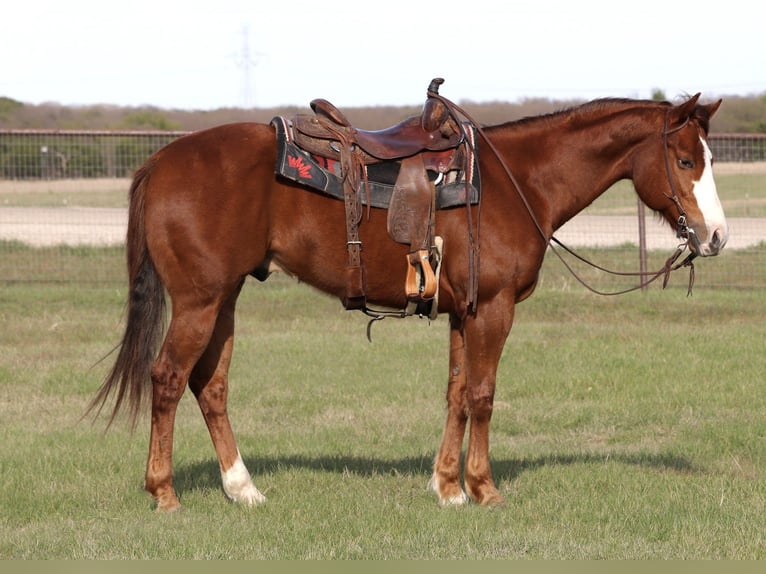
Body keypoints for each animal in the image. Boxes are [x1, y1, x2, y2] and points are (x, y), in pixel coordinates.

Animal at [89, 91, 727, 511]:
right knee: (168, 379)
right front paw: (483, 488)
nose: (716, 236)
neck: (518, 181)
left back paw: (243, 488)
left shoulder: (464, 313)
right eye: (686, 161)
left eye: (709, 158)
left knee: (210, 386)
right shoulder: (494, 309)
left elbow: (456, 395)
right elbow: (483, 395)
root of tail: (159, 161)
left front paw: (446, 486)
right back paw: (164, 493)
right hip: (199, 302)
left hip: (224, 299)